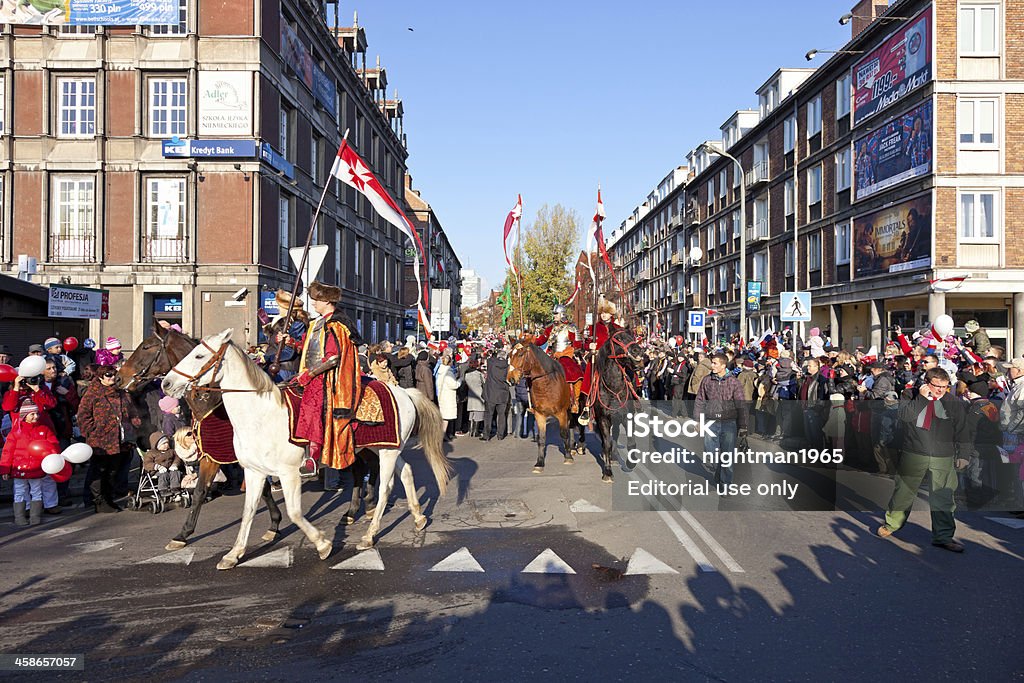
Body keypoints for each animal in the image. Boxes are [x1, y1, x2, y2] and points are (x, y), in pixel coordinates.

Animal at [163, 327, 452, 569]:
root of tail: (404, 392)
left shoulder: (288, 473)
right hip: (383, 448)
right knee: (406, 473)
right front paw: (234, 554)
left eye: (199, 355)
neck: (260, 415)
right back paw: (418, 518)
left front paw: (323, 544)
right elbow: (248, 511)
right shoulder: (253, 471)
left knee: (386, 487)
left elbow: (294, 512)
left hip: (388, 452)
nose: (166, 383)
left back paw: (370, 535)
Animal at [507, 344, 581, 473]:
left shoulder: (561, 413)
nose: (510, 379)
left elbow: (563, 433)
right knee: (571, 425)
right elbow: (541, 438)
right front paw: (539, 463)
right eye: (510, 355)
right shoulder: (539, 415)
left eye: (520, 354)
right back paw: (572, 447)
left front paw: (567, 457)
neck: (546, 384)